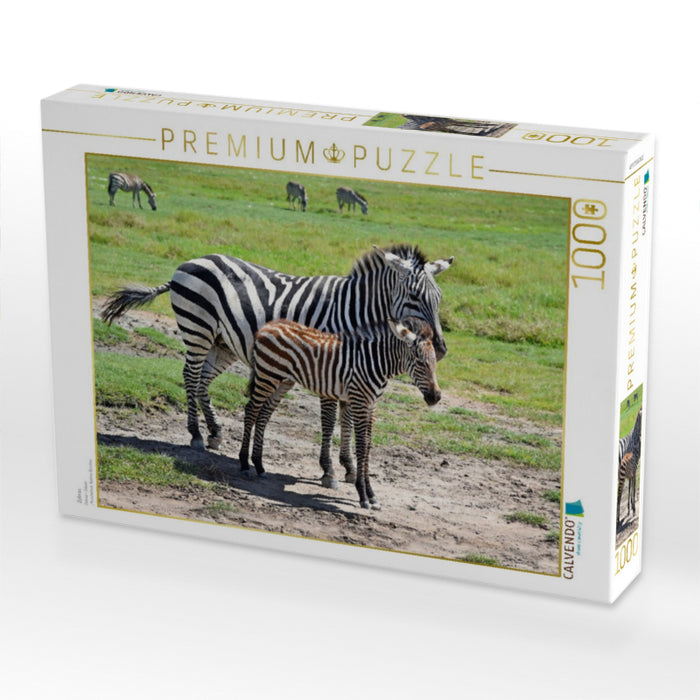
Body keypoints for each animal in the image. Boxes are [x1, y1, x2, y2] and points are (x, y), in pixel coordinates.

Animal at [101, 245, 454, 485]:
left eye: (439, 297)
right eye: (413, 296)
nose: (440, 348)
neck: (354, 313)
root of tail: (191, 261)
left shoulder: (349, 369)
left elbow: (347, 419)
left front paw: (349, 467)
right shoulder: (330, 365)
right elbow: (330, 420)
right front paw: (329, 471)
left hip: (222, 343)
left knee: (201, 380)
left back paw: (214, 432)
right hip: (197, 328)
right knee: (189, 375)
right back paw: (196, 434)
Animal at [241, 317, 440, 509]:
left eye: (434, 363)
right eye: (419, 361)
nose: (436, 397)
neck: (375, 363)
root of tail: (268, 326)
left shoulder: (371, 405)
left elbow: (368, 445)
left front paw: (371, 495)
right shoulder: (360, 401)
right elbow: (361, 445)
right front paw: (363, 495)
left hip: (283, 381)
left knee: (264, 414)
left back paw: (259, 465)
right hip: (268, 376)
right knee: (251, 410)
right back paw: (245, 465)